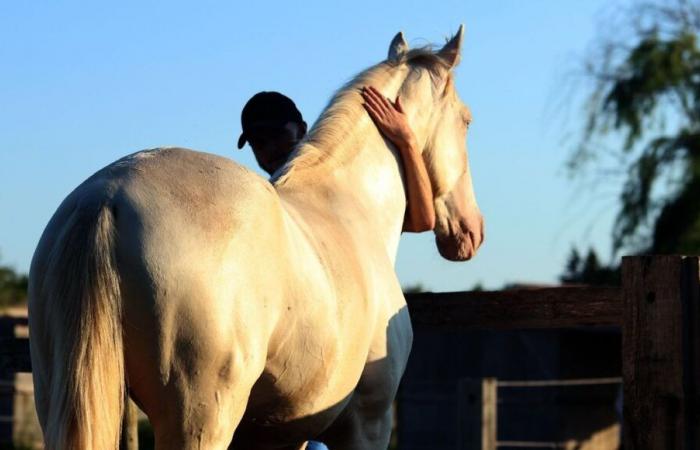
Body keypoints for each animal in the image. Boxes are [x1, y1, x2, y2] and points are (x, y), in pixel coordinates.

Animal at [28, 26, 486, 448]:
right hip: (200, 420)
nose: (472, 231)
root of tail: (106, 196)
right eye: (466, 120)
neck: (349, 209)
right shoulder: (366, 423)